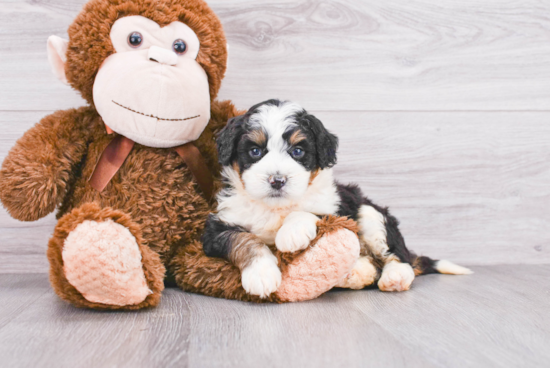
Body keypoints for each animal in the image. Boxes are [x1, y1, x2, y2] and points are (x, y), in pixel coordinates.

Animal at [204, 99, 474, 298]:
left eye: (298, 151)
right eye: (255, 151)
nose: (277, 180)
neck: (275, 207)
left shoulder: (337, 206)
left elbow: (310, 211)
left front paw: (291, 233)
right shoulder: (218, 225)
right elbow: (244, 240)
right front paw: (261, 274)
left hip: (370, 213)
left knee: (397, 255)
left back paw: (394, 277)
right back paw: (355, 272)